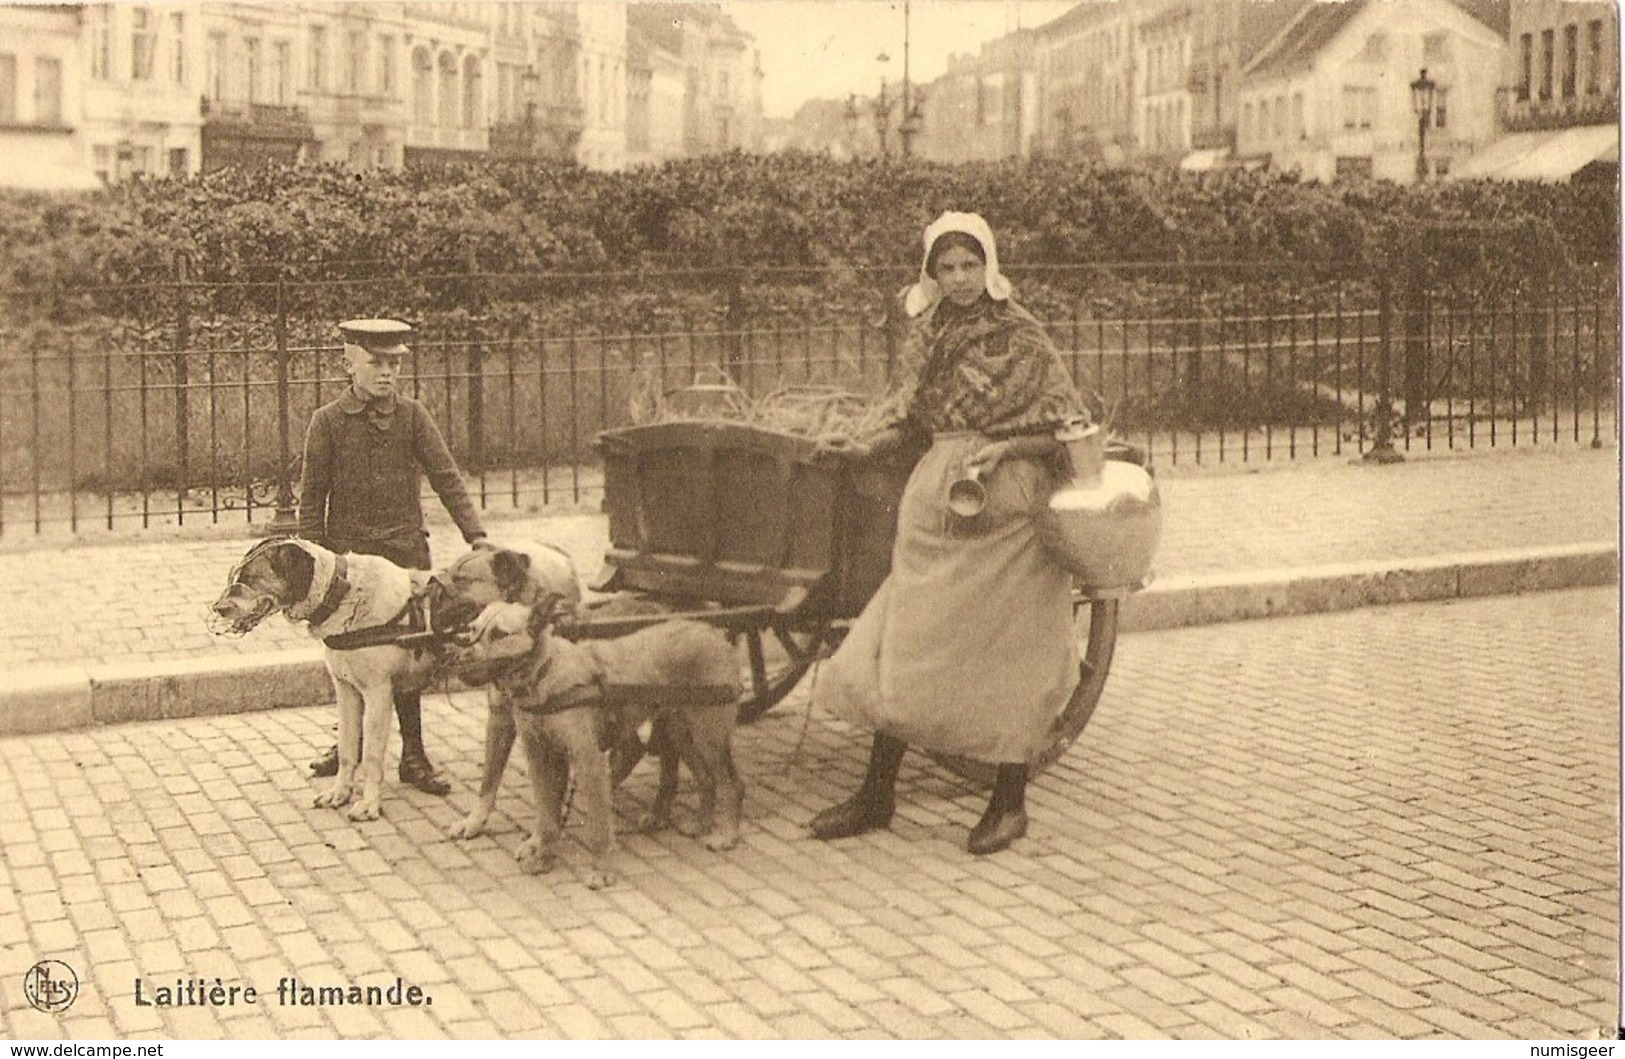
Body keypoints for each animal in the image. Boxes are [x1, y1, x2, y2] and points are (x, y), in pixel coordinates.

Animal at [448, 600, 744, 890]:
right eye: (472, 628)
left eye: (499, 634)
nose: (458, 658)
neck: (544, 675)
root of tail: (715, 634)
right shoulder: (540, 755)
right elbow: (546, 813)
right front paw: (542, 852)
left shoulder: (589, 759)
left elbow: (598, 826)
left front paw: (600, 870)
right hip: (680, 731)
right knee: (706, 777)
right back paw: (700, 823)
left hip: (708, 735)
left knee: (731, 784)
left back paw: (727, 835)